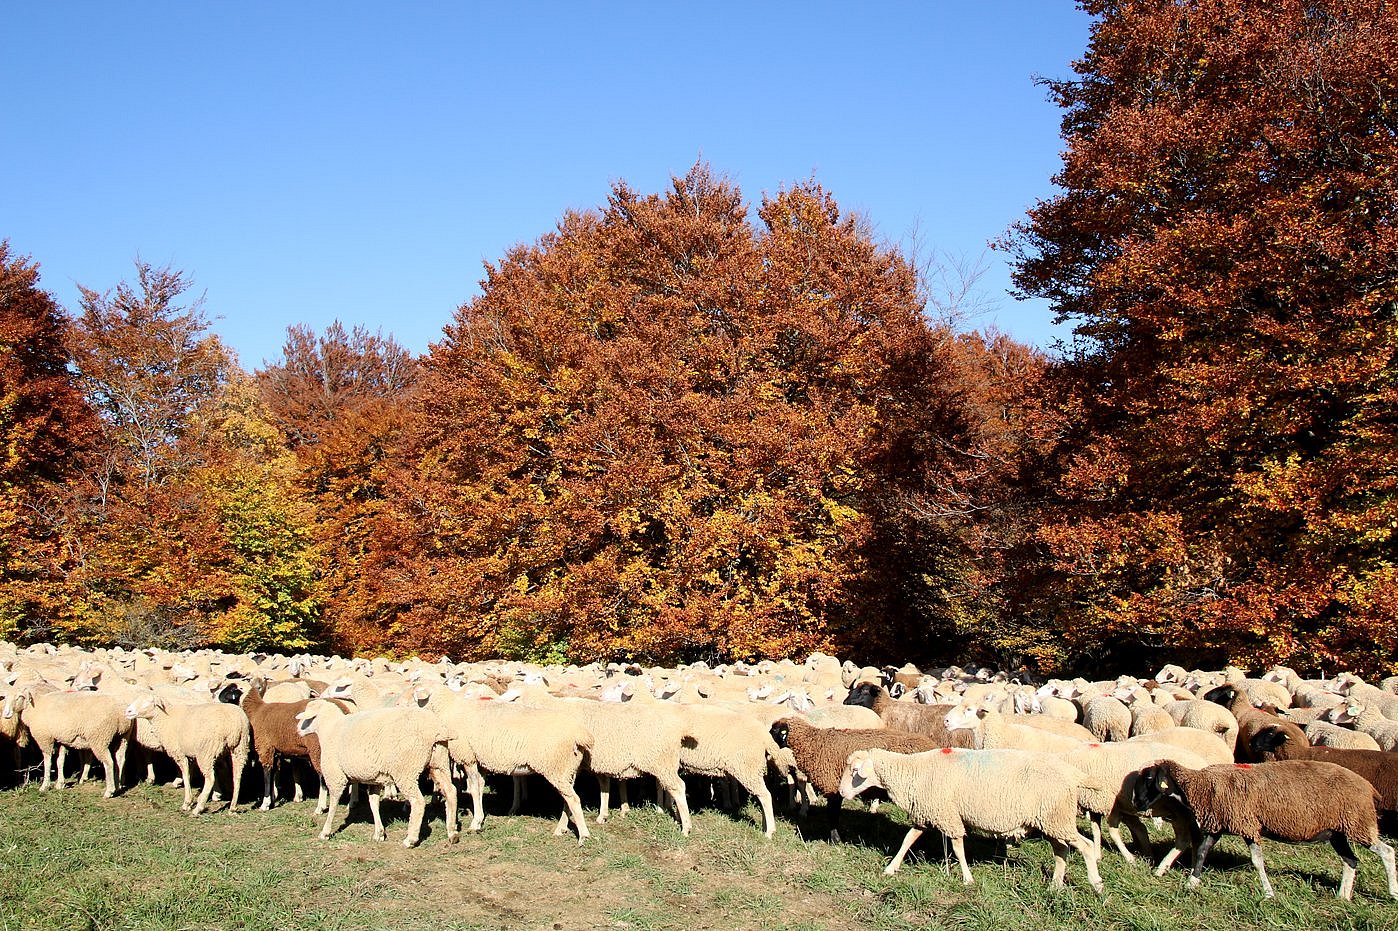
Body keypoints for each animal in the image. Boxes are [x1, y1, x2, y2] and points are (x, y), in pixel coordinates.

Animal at [2, 684, 133, 794]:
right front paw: (60, 784)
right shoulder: (61, 739)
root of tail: (120, 712)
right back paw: (118, 786)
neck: (36, 705)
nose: (6, 714)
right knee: (120, 759)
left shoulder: (45, 738)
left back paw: (109, 791)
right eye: (5, 697)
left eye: (20, 697)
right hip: (123, 736)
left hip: (100, 738)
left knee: (109, 762)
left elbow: (48, 762)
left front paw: (44, 786)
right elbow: (60, 761)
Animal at [294, 698, 458, 844]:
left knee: (418, 801)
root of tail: (435, 730)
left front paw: (325, 832)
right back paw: (452, 832)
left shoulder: (335, 775)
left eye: (306, 719)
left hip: (405, 770)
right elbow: (373, 803)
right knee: (451, 791)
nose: (297, 731)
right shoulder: (374, 779)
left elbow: (334, 802)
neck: (329, 729)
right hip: (439, 764)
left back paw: (411, 839)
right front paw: (379, 833)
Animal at [838, 743, 1101, 889]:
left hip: (1057, 818)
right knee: (1061, 851)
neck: (912, 771)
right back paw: (1055, 886)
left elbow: (957, 849)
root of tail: (1073, 773)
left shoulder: (948, 815)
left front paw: (967, 878)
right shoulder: (927, 815)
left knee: (1086, 846)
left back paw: (1096, 884)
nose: (841, 792)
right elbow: (907, 840)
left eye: (855, 771)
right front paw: (891, 868)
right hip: (1052, 820)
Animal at [1135, 760, 1398, 894]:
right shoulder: (1220, 824)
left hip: (1358, 823)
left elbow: (1257, 861)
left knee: (1387, 851)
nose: (1137, 804)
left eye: (1149, 779)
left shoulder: (1247, 823)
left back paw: (1392, 893)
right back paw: (1343, 896)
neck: (1201, 785)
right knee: (1350, 860)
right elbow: (1201, 852)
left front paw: (1268, 892)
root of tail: (1369, 788)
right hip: (1339, 831)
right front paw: (1192, 882)